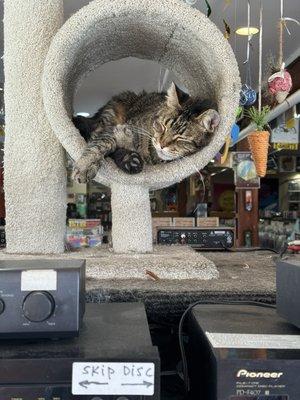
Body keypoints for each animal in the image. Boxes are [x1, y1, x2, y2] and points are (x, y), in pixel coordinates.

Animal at [71, 83, 219, 183]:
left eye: (181, 139)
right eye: (161, 126)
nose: (161, 145)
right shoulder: (115, 131)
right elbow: (99, 146)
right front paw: (85, 166)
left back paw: (129, 160)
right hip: (110, 115)